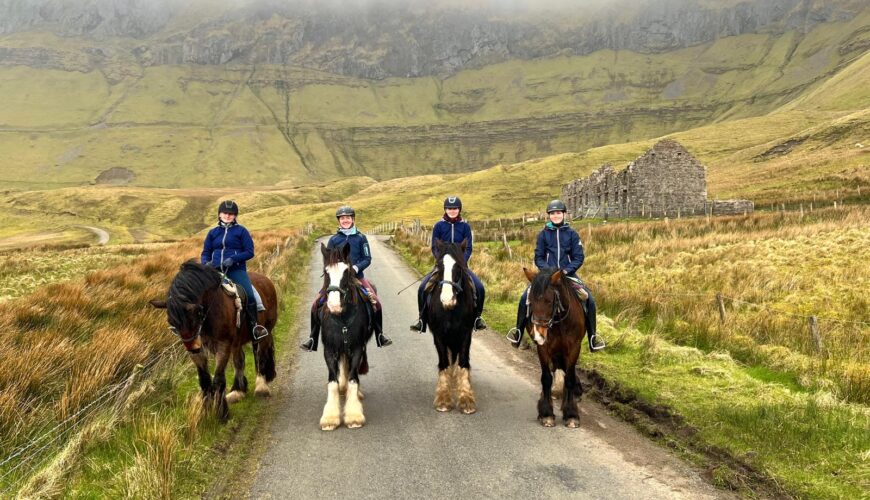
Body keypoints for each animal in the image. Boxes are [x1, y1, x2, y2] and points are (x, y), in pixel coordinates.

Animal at [150, 260, 278, 420]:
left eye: (196, 314)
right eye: (171, 322)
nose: (193, 347)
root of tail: (266, 280)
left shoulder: (223, 345)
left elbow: (218, 379)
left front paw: (221, 412)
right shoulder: (199, 350)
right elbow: (204, 380)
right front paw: (206, 411)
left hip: (263, 333)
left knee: (260, 355)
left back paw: (261, 386)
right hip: (236, 342)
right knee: (240, 361)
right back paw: (238, 391)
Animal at [320, 242, 374, 430]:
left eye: (347, 272)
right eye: (326, 272)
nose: (334, 305)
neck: (342, 317)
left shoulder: (357, 348)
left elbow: (353, 379)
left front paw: (354, 416)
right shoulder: (329, 349)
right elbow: (333, 382)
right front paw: (330, 418)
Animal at [428, 238, 476, 414]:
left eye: (459, 267)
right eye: (439, 266)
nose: (447, 299)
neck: (451, 310)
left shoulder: (465, 335)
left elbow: (462, 362)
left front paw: (466, 399)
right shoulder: (439, 335)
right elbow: (444, 363)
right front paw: (443, 398)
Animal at [524, 268, 584, 428]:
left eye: (549, 301)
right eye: (530, 301)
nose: (538, 334)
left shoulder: (574, 349)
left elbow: (569, 378)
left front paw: (571, 414)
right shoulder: (544, 348)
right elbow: (546, 378)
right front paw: (546, 414)